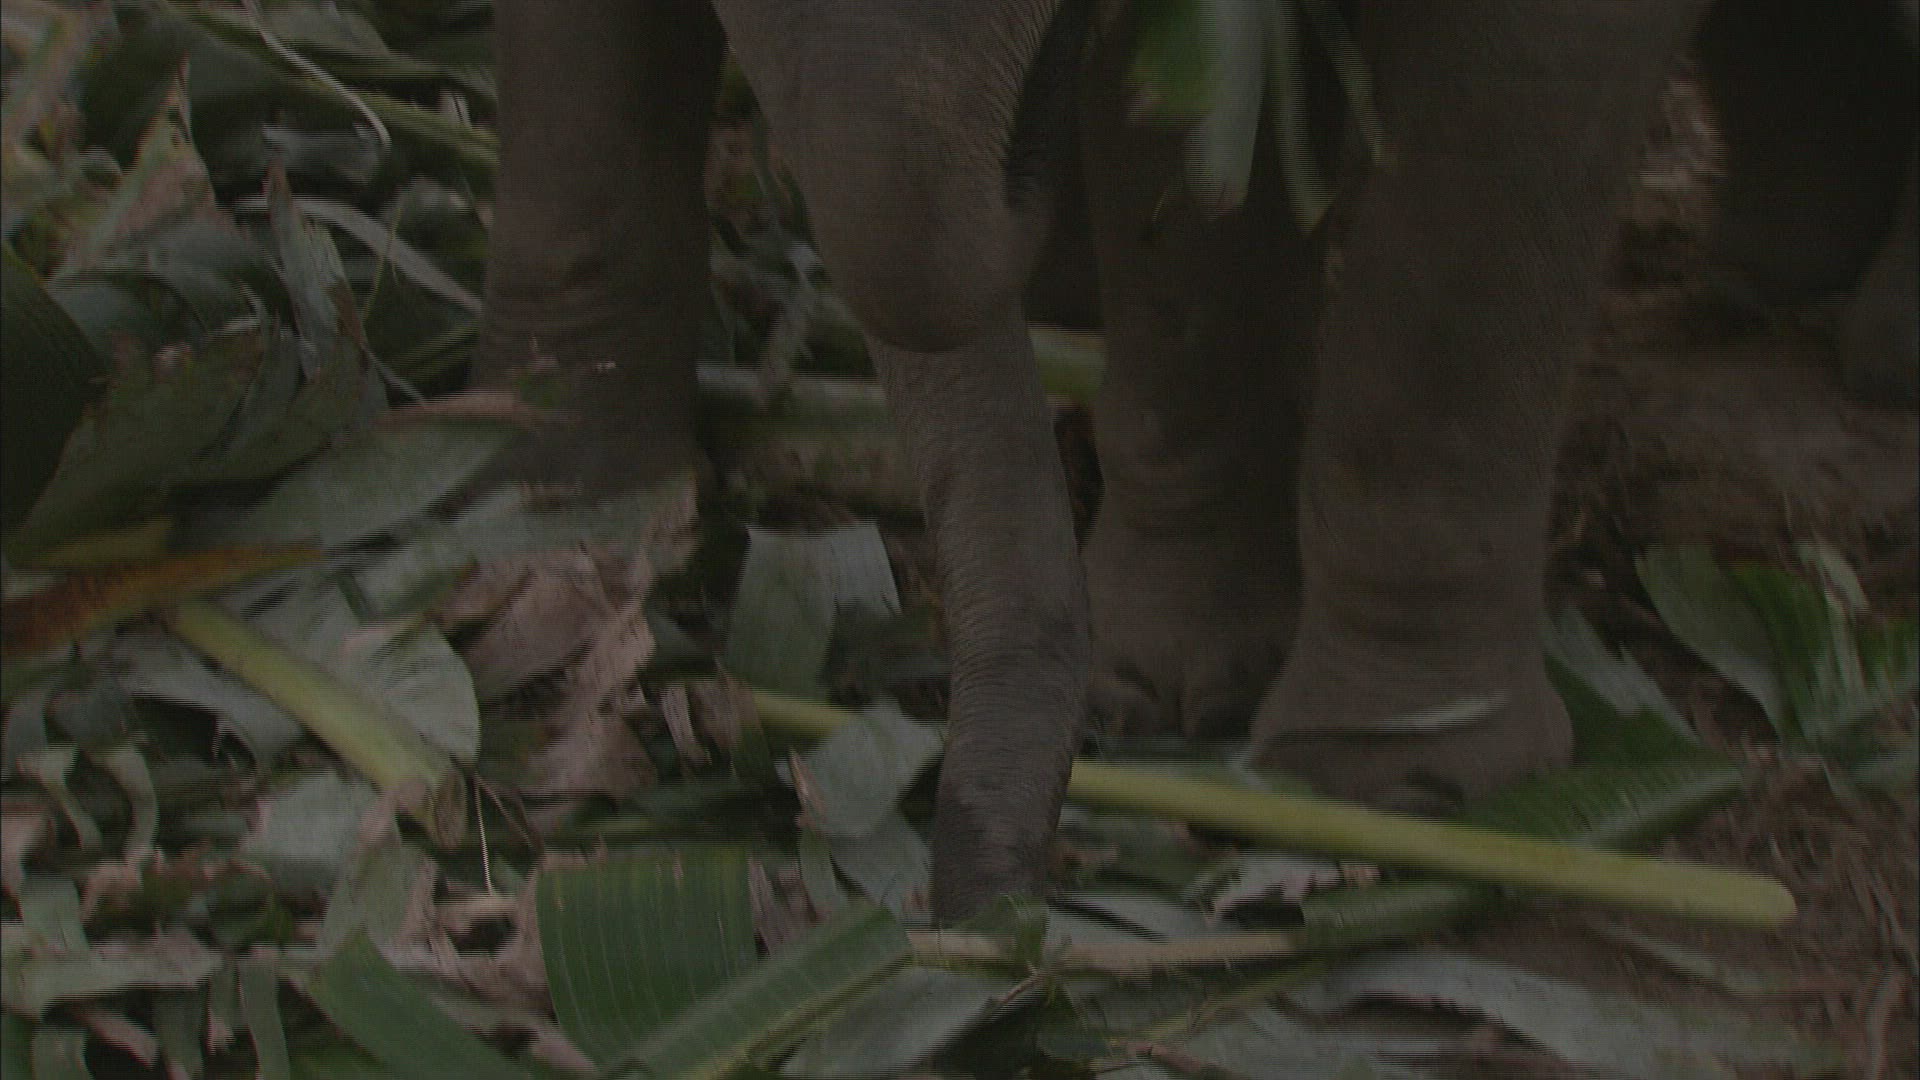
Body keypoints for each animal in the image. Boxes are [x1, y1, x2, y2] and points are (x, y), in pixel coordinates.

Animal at [475, 0, 1919, 919]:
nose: (984, 913)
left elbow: (1495, 145)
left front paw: (1394, 782)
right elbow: (1180, 152)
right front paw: (1163, 697)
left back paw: (1865, 347)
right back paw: (1770, 273)